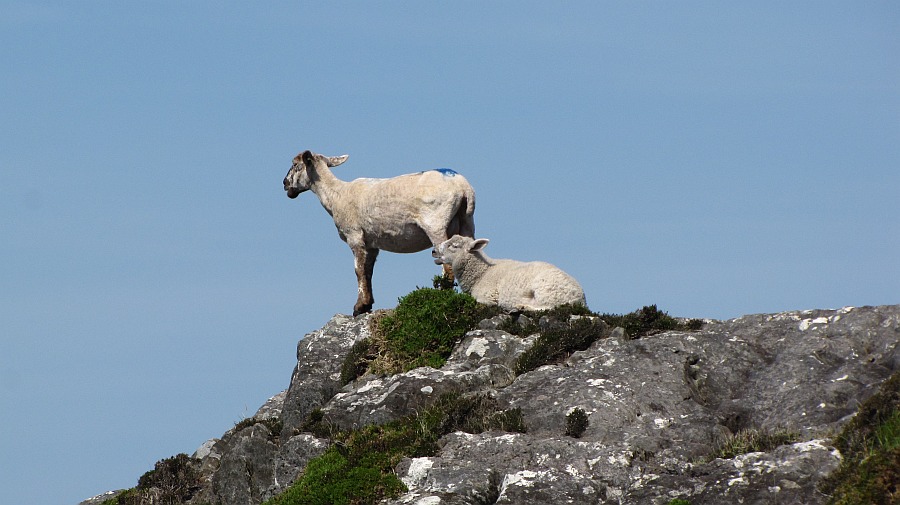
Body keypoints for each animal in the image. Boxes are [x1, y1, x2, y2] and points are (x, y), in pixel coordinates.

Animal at [284, 150, 474, 316]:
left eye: (295, 165)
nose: (284, 184)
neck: (336, 196)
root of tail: (462, 186)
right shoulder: (372, 244)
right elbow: (368, 271)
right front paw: (367, 304)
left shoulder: (355, 236)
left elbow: (358, 270)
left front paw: (359, 307)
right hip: (467, 222)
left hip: (436, 223)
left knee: (447, 264)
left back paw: (443, 293)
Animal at [432, 233, 588, 312]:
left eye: (454, 246)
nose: (433, 251)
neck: (482, 272)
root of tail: (580, 299)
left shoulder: (488, 296)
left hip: (547, 289)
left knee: (549, 307)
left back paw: (522, 307)